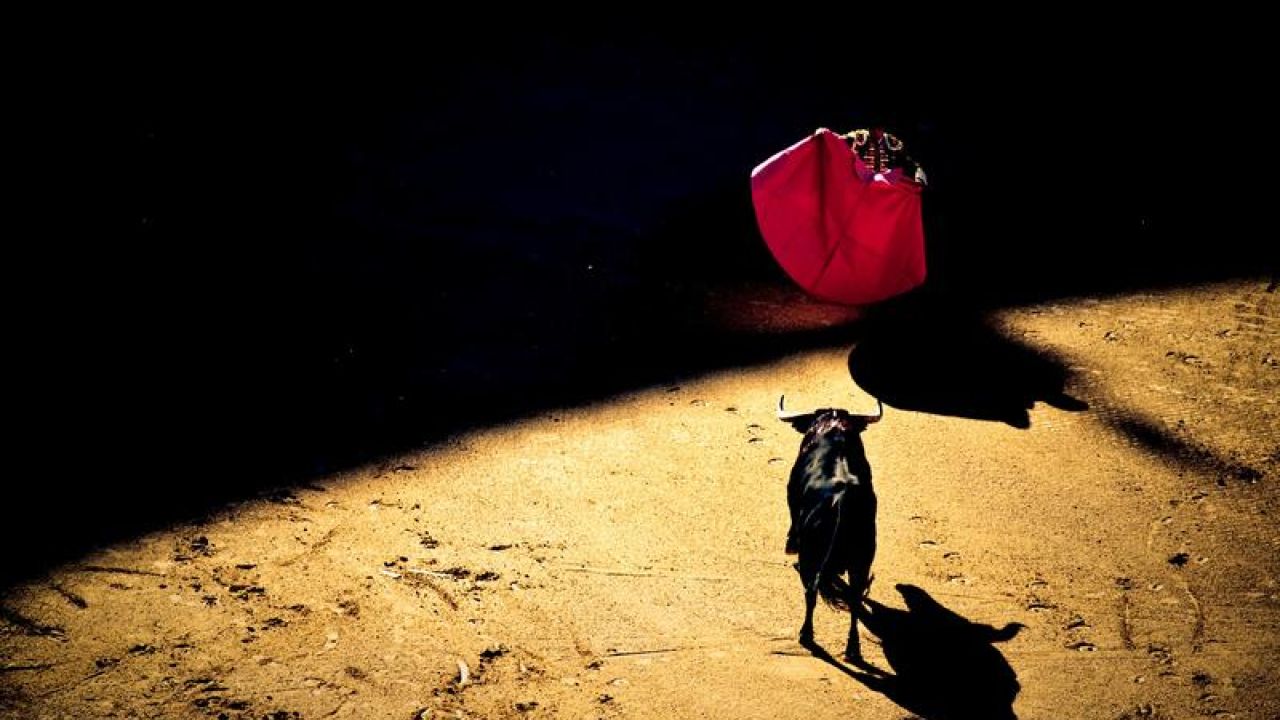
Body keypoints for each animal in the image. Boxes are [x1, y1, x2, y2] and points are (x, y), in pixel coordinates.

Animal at [778, 394, 881, 663]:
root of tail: (842, 498)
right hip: (862, 558)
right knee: (854, 598)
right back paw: (853, 648)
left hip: (812, 555)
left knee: (811, 591)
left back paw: (806, 635)